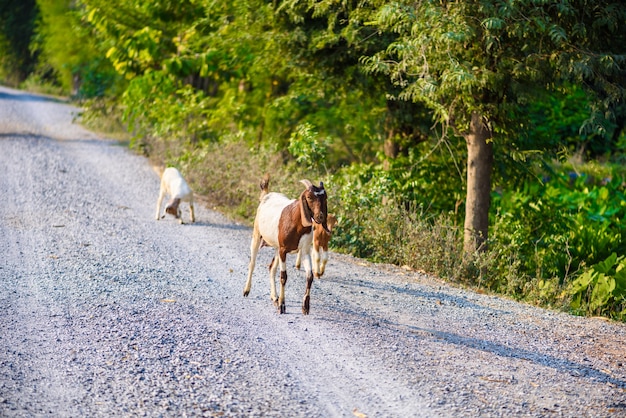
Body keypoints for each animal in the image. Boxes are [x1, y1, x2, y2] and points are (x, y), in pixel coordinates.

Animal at [243, 175, 330, 316]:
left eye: (325, 197)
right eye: (309, 197)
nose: (320, 217)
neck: (296, 221)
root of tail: (266, 195)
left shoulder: (304, 250)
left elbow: (310, 276)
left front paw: (305, 307)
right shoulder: (283, 250)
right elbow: (283, 277)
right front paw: (282, 306)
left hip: (277, 248)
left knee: (271, 268)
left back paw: (274, 297)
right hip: (257, 235)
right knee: (252, 263)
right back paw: (246, 290)